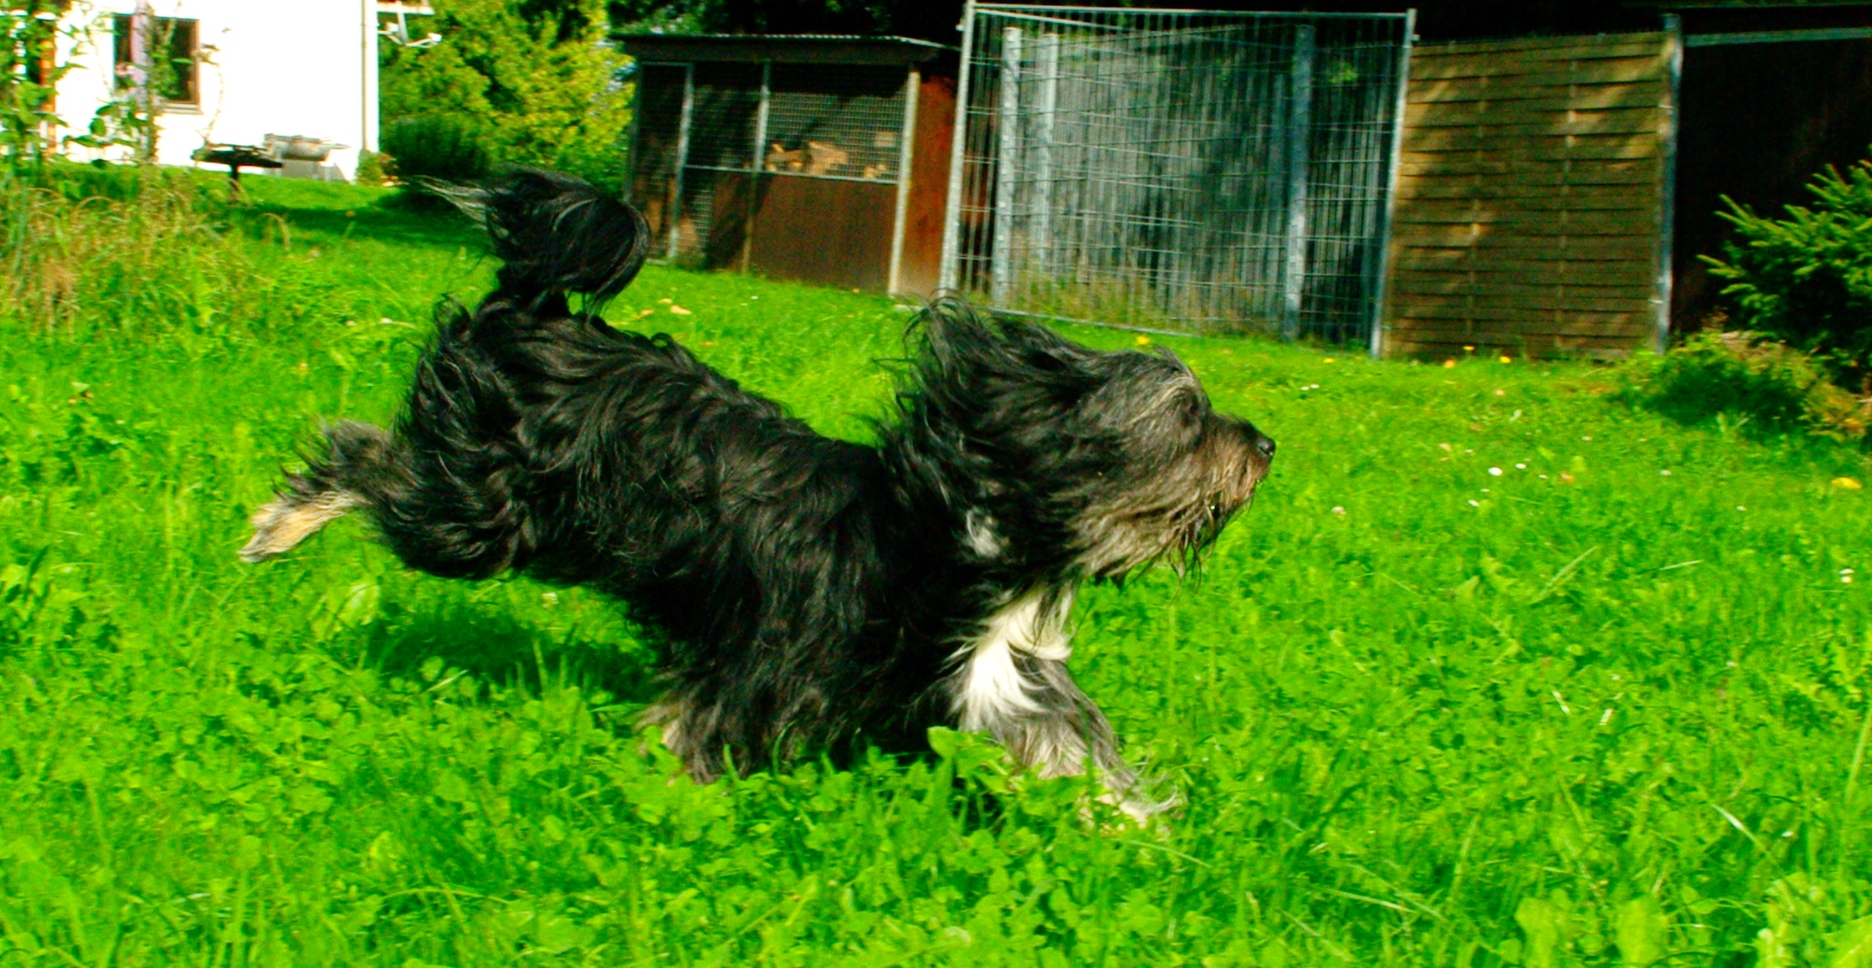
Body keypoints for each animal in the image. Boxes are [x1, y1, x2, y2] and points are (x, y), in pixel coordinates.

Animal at [239, 169, 1275, 818]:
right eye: (1187, 415)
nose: (1265, 445)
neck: (963, 529)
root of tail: (534, 310)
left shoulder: (999, 679)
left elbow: (1070, 749)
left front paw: (1131, 825)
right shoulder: (771, 655)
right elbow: (696, 726)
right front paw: (665, 789)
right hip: (477, 514)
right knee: (364, 456)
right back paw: (276, 528)